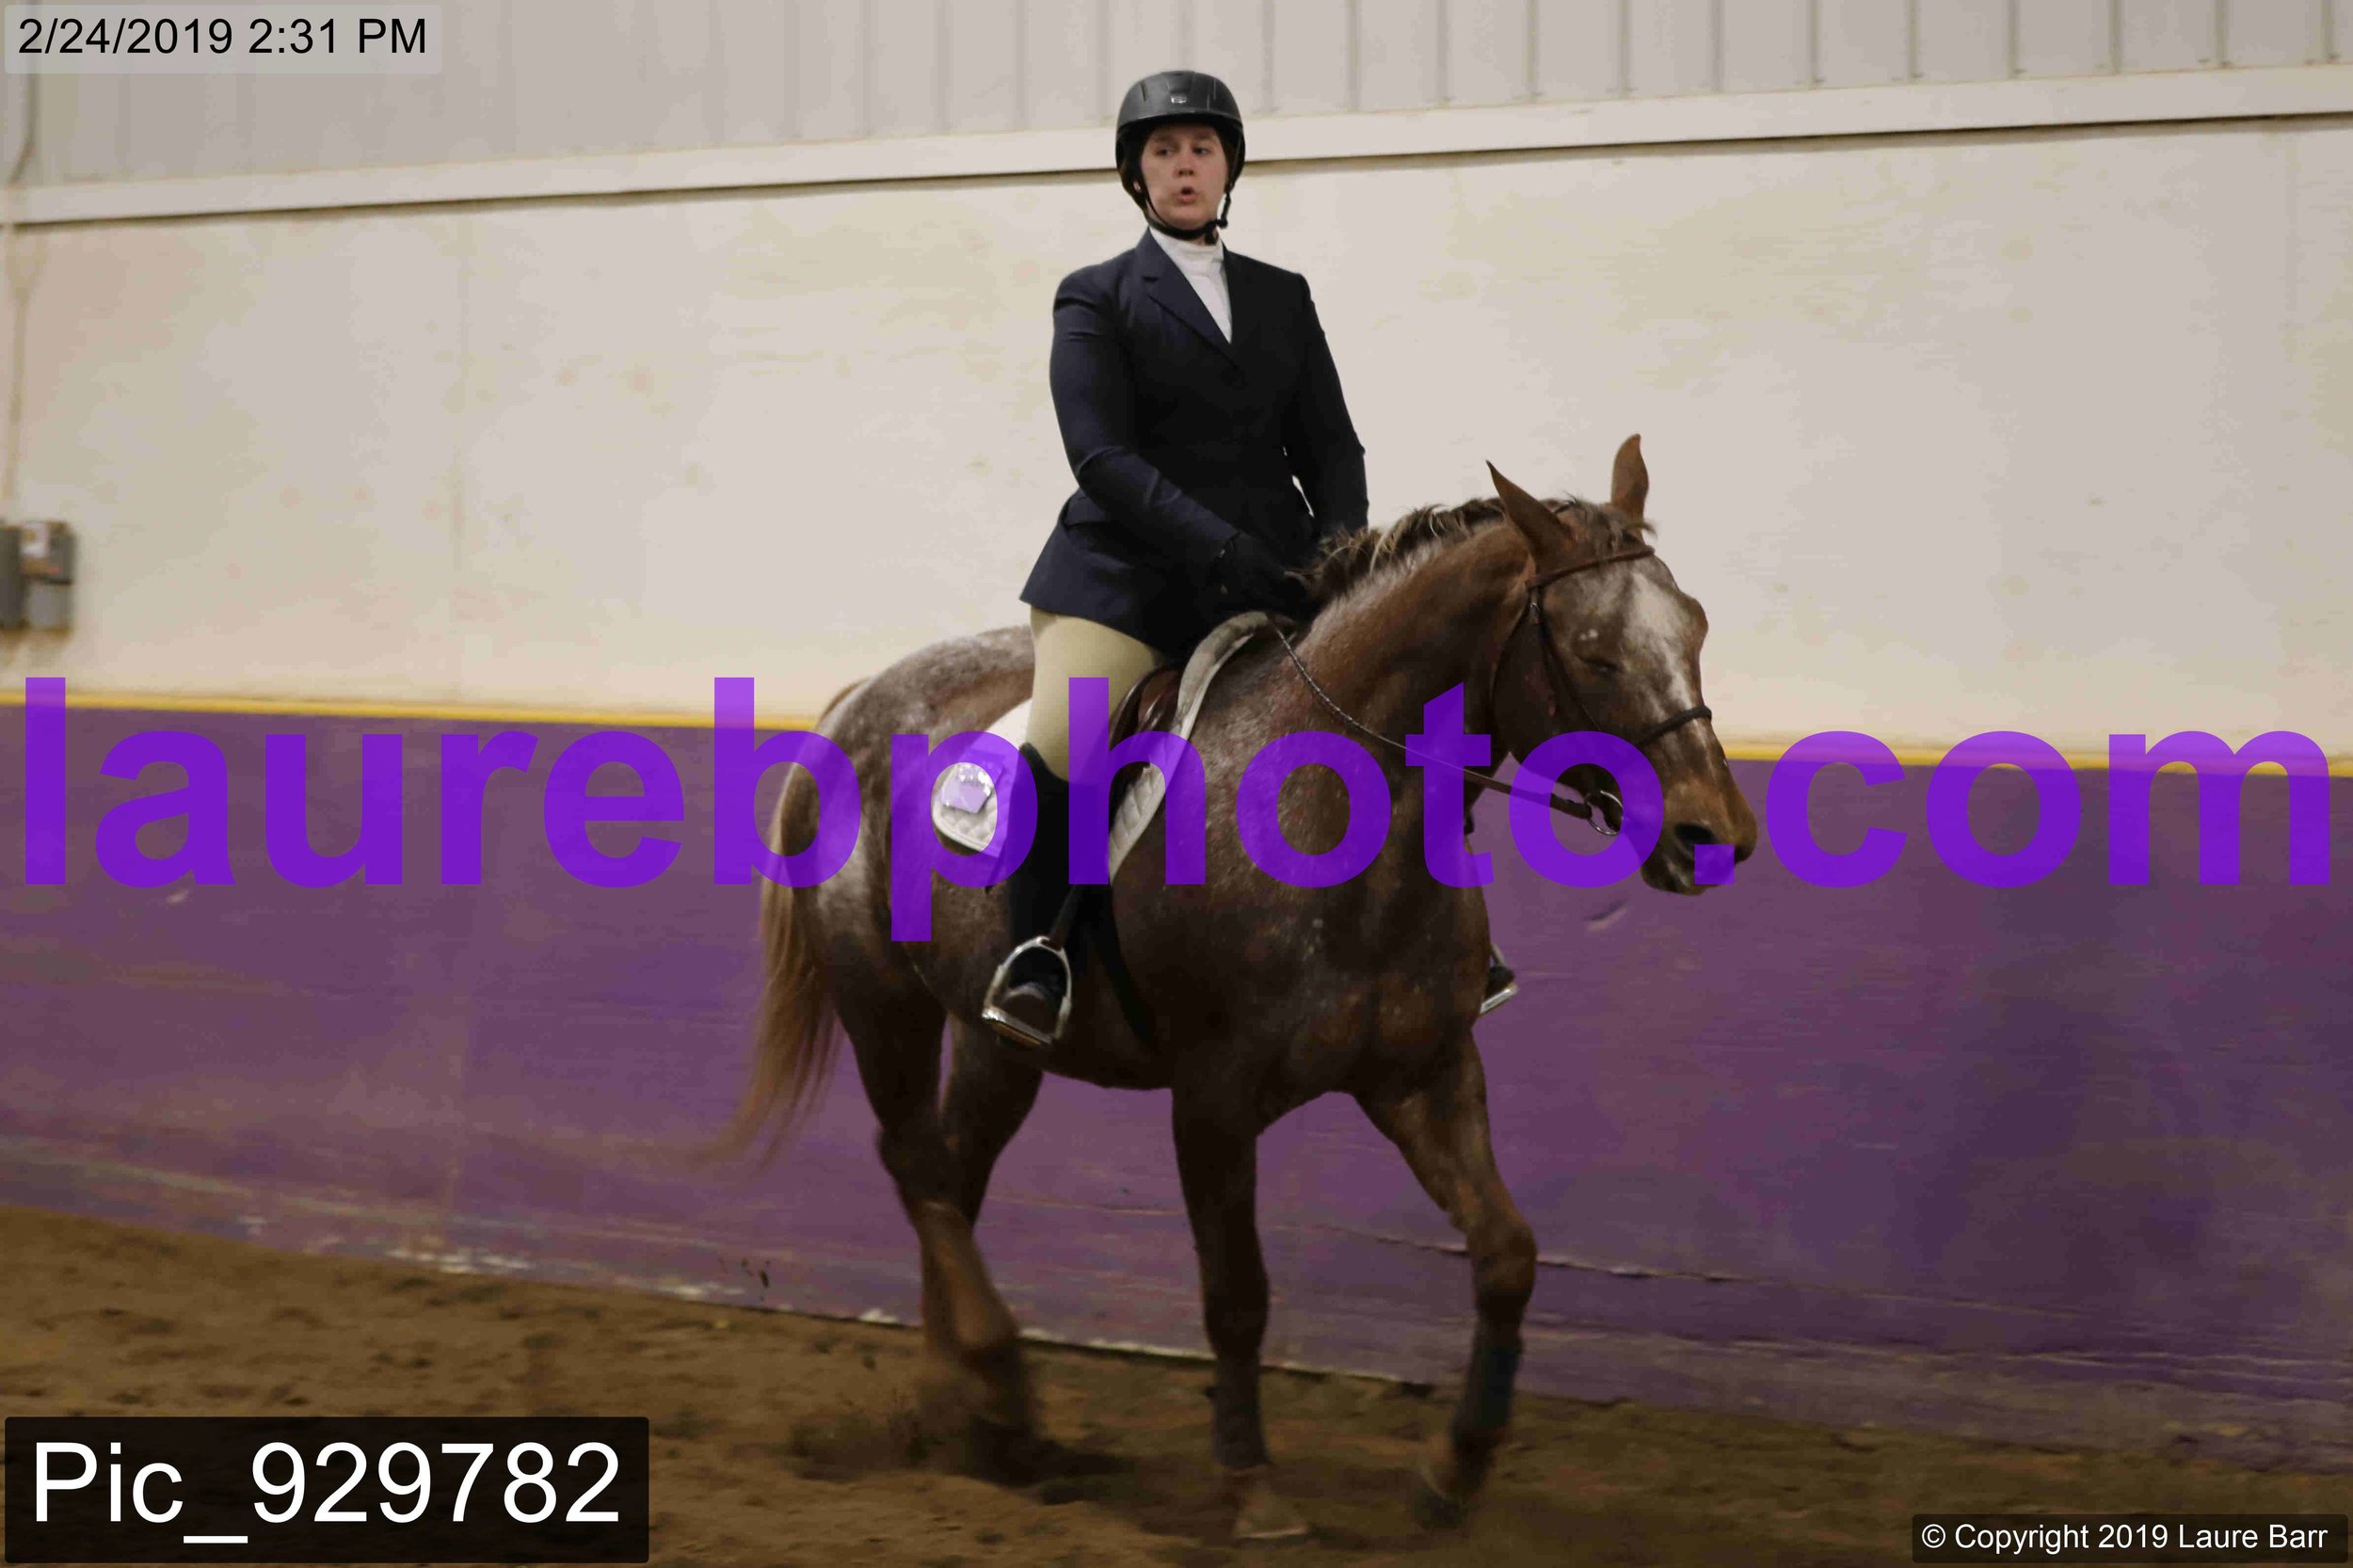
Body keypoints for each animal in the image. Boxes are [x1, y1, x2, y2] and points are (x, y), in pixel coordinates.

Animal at [704, 436, 1758, 1541]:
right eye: (1594, 653)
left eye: (1694, 627)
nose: (1713, 837)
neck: (1343, 811)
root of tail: (860, 698)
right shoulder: (1213, 1098)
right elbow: (1237, 1293)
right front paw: (1255, 1491)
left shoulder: (1424, 1073)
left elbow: (1507, 1254)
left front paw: (1453, 1472)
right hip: (882, 1001)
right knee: (916, 1165)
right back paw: (998, 1381)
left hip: (999, 1041)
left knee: (953, 1171)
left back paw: (965, 1407)